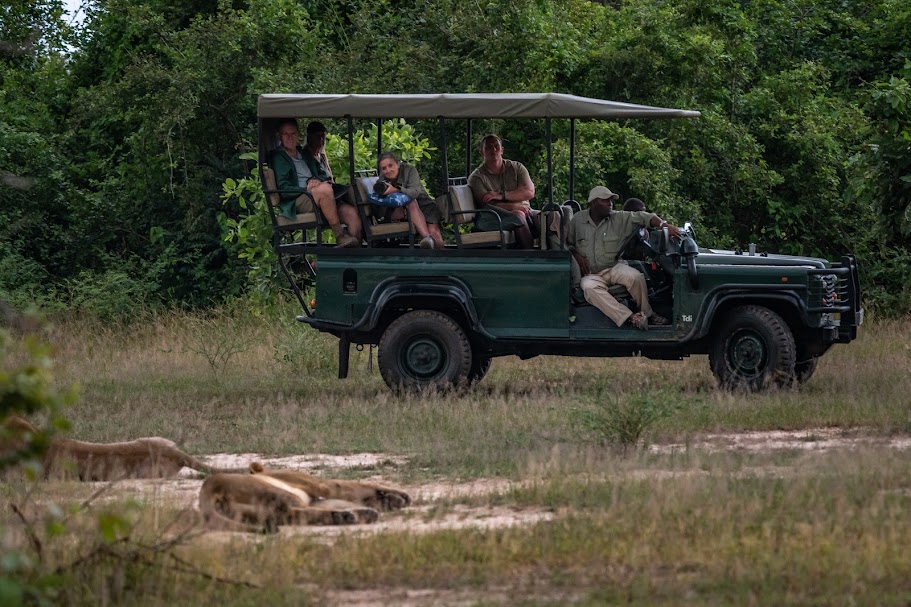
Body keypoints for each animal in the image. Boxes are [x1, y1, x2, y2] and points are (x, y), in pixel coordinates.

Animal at [198, 461, 412, 533]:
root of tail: (206, 490)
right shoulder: (321, 486)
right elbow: (356, 485)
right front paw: (400, 496)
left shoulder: (317, 496)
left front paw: (390, 500)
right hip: (278, 493)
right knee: (294, 511)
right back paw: (354, 515)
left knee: (293, 515)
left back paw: (348, 516)